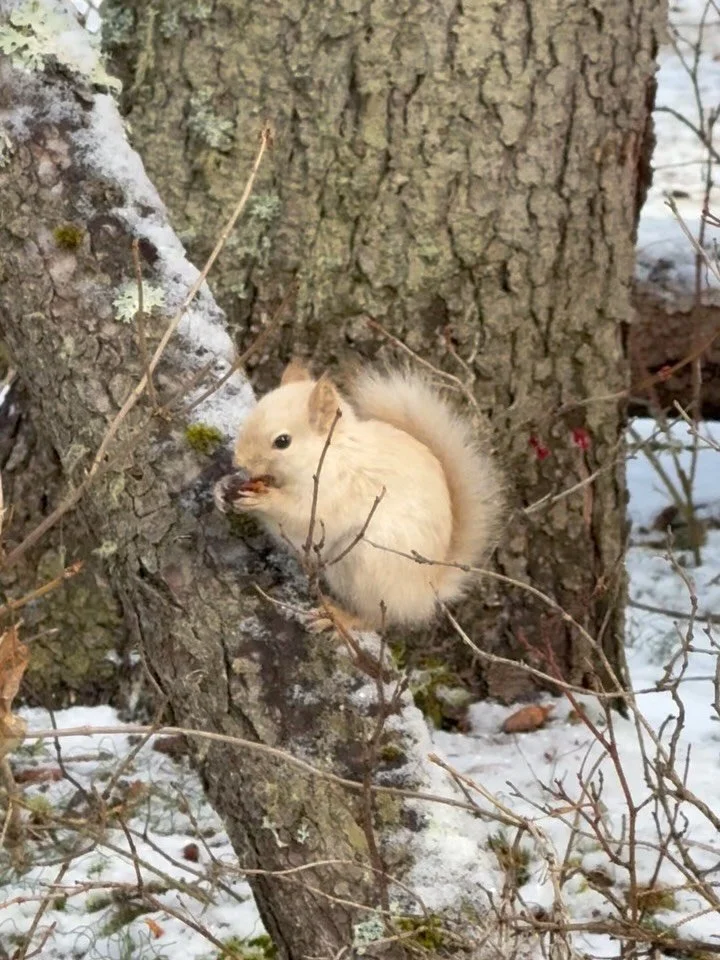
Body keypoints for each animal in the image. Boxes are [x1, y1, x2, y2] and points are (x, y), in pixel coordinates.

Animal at [214, 360, 504, 632]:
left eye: (282, 441)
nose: (239, 461)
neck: (329, 453)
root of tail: (428, 587)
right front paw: (222, 488)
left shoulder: (332, 492)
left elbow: (298, 517)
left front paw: (263, 501)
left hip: (367, 566)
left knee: (376, 617)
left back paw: (336, 619)